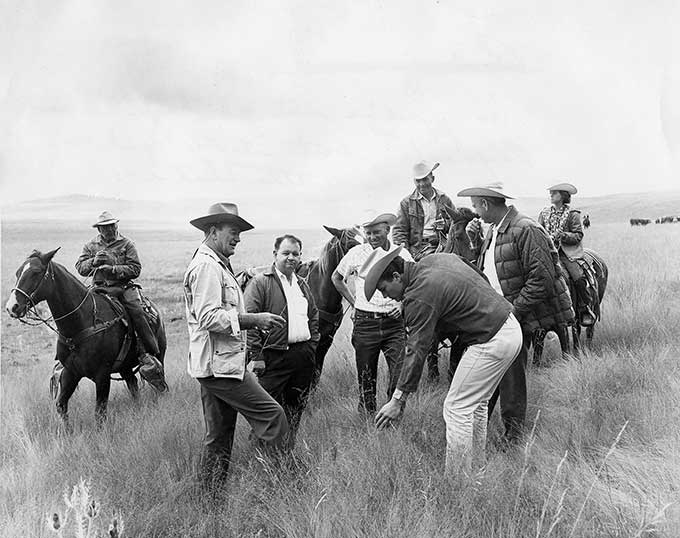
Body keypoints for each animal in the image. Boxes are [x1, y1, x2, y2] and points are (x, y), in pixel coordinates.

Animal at [5, 247, 167, 428]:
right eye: (18, 272)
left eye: (36, 272)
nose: (12, 307)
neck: (80, 324)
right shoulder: (71, 373)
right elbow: (61, 405)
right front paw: (67, 432)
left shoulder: (102, 375)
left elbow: (100, 413)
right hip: (124, 368)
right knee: (133, 387)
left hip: (159, 354)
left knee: (159, 382)